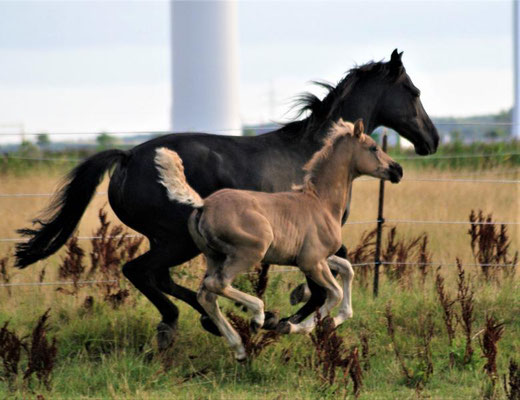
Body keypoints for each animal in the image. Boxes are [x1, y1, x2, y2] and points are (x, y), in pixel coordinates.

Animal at [154, 119, 402, 362]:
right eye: (374, 147)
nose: (397, 170)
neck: (321, 202)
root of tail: (203, 204)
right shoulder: (312, 262)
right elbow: (335, 292)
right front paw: (294, 326)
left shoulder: (317, 257)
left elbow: (348, 269)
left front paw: (332, 319)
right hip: (248, 252)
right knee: (217, 285)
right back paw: (258, 317)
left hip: (215, 256)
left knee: (206, 295)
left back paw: (240, 349)